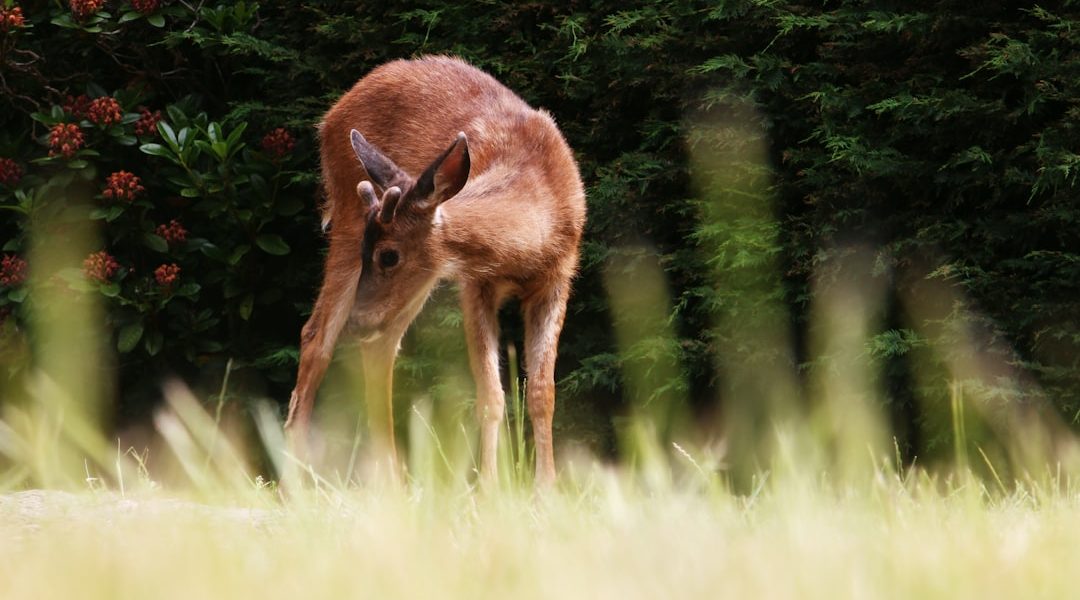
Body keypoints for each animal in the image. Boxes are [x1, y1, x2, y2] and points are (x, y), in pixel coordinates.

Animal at [282, 55, 587, 487]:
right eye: (372, 254)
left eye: (388, 256)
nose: (357, 320)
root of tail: (330, 117)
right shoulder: (475, 284)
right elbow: (490, 394)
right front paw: (488, 485)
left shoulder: (558, 279)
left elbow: (543, 392)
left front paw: (546, 487)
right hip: (348, 218)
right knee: (317, 336)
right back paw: (296, 477)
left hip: (410, 279)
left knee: (379, 347)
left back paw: (391, 478)